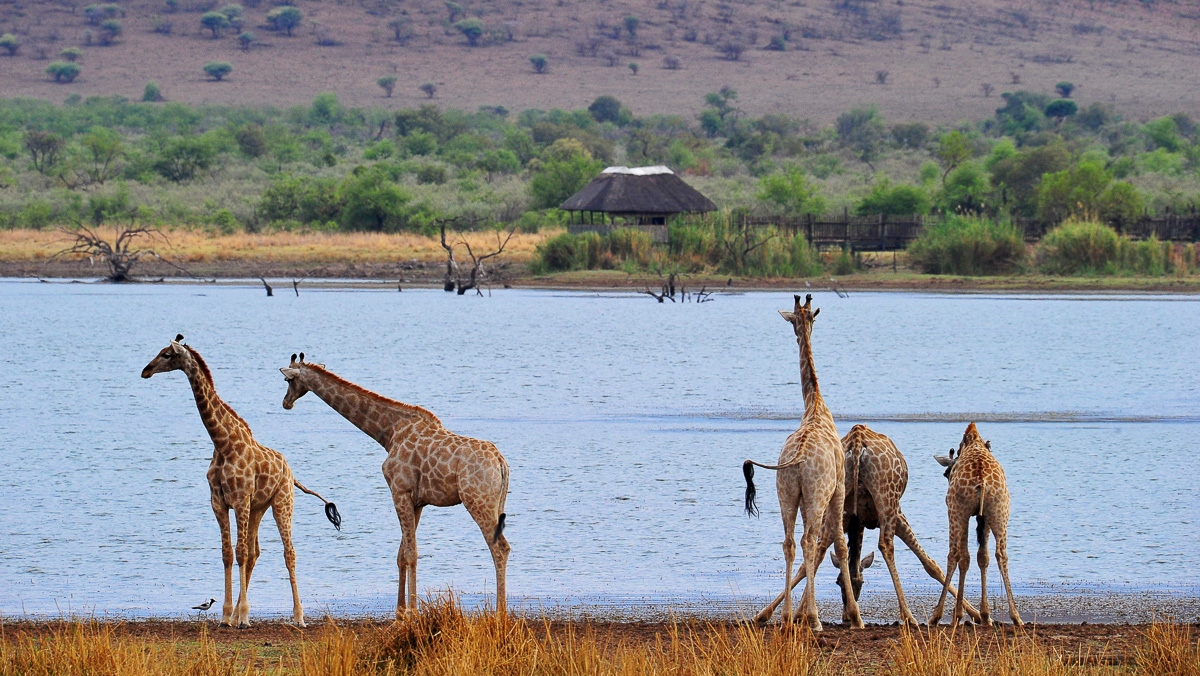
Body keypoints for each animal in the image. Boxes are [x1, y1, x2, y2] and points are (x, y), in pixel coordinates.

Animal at [141, 335, 341, 629]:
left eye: (167, 354)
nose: (146, 370)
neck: (223, 443)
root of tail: (291, 473)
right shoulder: (219, 502)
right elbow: (228, 552)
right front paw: (227, 616)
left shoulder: (240, 499)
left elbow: (240, 552)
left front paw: (243, 616)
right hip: (259, 507)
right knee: (256, 552)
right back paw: (238, 615)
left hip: (282, 502)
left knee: (288, 552)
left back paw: (298, 616)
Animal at [279, 354, 511, 618]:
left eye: (287, 380)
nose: (286, 402)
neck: (388, 433)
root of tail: (501, 463)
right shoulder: (417, 501)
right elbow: (402, 554)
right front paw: (400, 612)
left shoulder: (399, 491)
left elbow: (411, 553)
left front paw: (412, 612)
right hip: (497, 504)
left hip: (477, 501)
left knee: (499, 548)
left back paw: (500, 613)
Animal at [742, 294, 862, 631]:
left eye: (801, 319)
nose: (799, 332)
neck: (815, 404)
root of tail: (795, 460)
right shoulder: (838, 488)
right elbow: (840, 544)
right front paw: (855, 616)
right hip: (817, 494)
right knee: (809, 541)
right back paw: (814, 618)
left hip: (786, 493)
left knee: (789, 543)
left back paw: (785, 618)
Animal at [753, 424, 981, 626]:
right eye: (838, 583)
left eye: (859, 584)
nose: (845, 616)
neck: (858, 522)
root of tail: (857, 442)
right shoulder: (897, 514)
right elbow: (930, 564)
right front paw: (975, 613)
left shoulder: (845, 519)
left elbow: (817, 558)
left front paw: (781, 613)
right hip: (886, 500)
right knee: (885, 545)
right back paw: (908, 616)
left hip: (838, 498)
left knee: (816, 547)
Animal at [930, 422, 1023, 628]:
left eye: (946, 474)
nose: (947, 475)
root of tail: (982, 480)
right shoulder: (984, 518)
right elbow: (983, 556)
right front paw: (986, 615)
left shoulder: (962, 513)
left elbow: (964, 557)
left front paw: (958, 615)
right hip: (999, 511)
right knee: (1001, 554)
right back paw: (1016, 616)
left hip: (957, 511)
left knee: (953, 554)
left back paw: (936, 615)